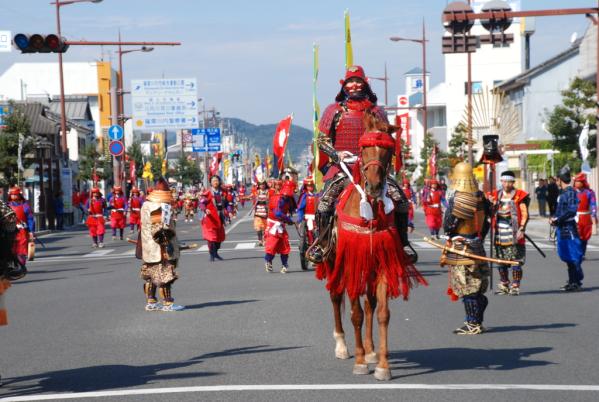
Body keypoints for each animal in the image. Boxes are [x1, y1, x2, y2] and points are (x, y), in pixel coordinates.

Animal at [316, 113, 424, 380]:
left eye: (388, 150)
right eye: (364, 149)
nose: (374, 186)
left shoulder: (383, 261)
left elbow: (382, 313)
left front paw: (382, 365)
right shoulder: (351, 261)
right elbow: (355, 314)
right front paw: (360, 362)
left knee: (370, 304)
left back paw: (371, 350)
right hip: (332, 260)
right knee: (336, 298)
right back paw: (343, 346)